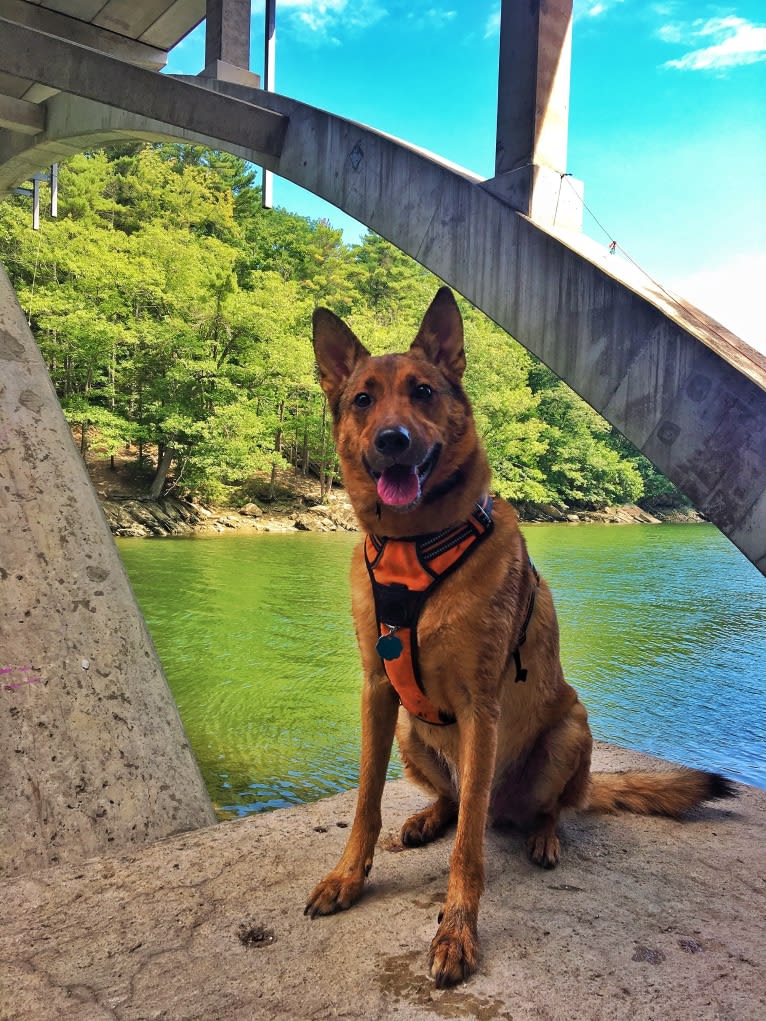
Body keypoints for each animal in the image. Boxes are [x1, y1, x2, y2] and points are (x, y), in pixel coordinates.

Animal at [306, 283, 739, 984]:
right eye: (363, 399)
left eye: (423, 391)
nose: (393, 441)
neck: (414, 546)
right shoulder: (377, 692)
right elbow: (367, 803)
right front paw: (348, 877)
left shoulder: (481, 707)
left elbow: (469, 852)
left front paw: (457, 932)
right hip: (411, 735)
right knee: (457, 803)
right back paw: (428, 817)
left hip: (569, 731)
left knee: (535, 807)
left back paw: (542, 834)